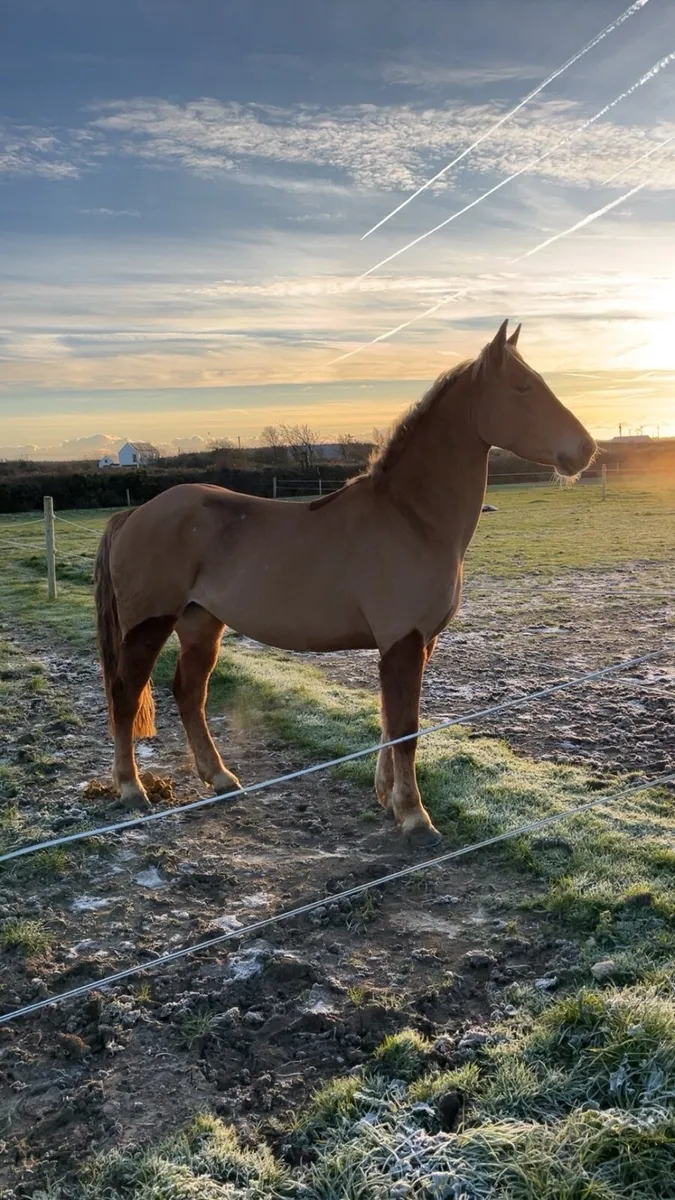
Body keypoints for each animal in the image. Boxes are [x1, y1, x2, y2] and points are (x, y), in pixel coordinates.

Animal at [93, 320, 596, 847]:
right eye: (522, 387)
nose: (585, 449)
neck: (411, 518)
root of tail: (135, 514)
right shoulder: (403, 640)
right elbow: (405, 727)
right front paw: (415, 816)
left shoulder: (417, 643)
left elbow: (389, 722)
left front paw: (389, 799)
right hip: (149, 625)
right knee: (125, 694)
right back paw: (131, 789)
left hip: (201, 624)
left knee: (189, 693)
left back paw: (220, 778)